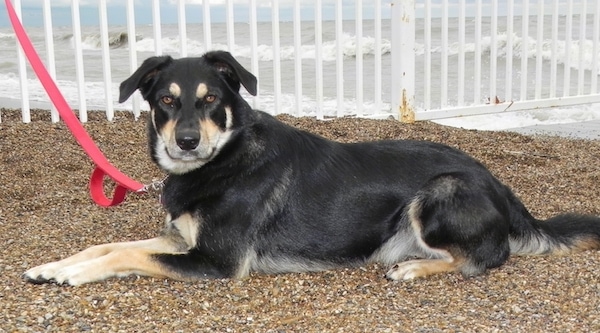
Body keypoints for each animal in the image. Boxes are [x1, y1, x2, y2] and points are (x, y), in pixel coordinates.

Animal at [23, 50, 600, 284]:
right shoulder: (182, 241)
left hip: (440, 191)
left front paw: (71, 275)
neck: (226, 159)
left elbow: (123, 255)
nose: (186, 143)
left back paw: (415, 267)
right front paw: (55, 266)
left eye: (211, 101)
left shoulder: (216, 262)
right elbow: (107, 246)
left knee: (486, 257)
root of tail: (501, 185)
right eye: (166, 100)